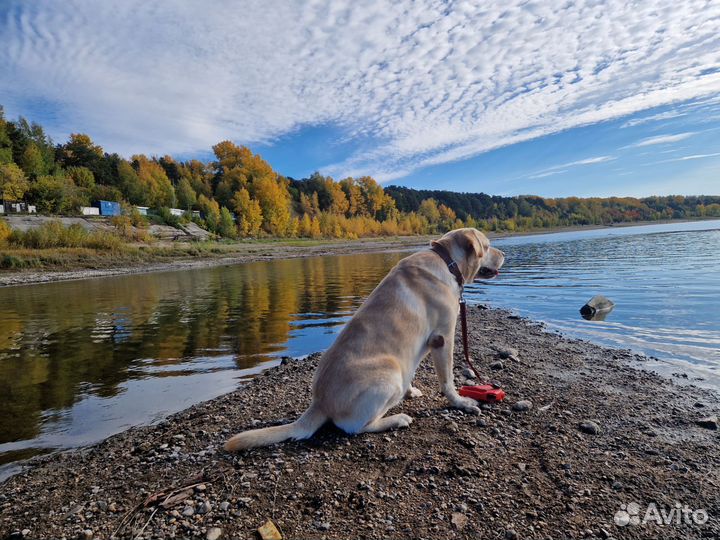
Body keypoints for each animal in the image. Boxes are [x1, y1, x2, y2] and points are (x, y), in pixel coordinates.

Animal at [226, 228, 506, 452]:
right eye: (488, 245)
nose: (504, 255)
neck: (447, 262)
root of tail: (319, 403)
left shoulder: (415, 352)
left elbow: (414, 373)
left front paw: (413, 391)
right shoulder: (443, 338)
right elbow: (447, 381)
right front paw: (461, 403)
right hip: (389, 374)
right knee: (354, 427)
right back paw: (396, 419)